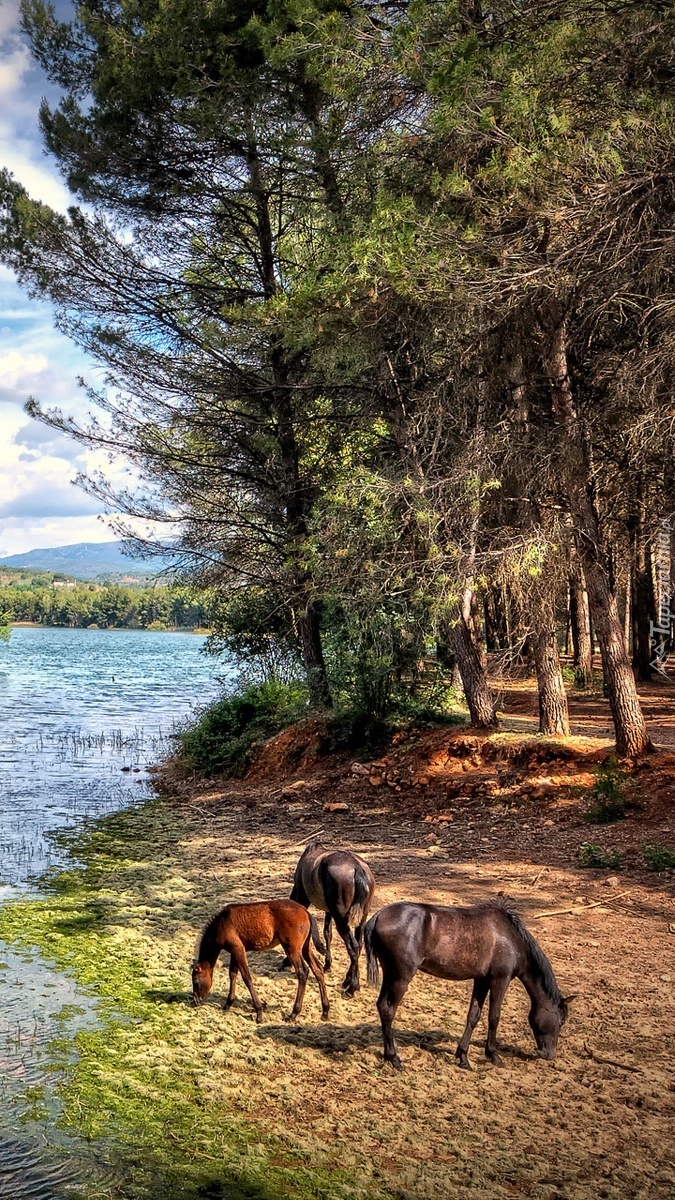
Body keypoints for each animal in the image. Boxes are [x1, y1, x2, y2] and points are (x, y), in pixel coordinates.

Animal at [189, 902, 329, 1022]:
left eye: (196, 982)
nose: (195, 1001)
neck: (220, 924)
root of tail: (306, 912)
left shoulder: (238, 948)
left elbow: (246, 977)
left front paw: (259, 1012)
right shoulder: (235, 950)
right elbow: (232, 974)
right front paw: (228, 1004)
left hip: (292, 948)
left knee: (303, 972)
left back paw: (293, 1013)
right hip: (305, 947)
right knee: (318, 969)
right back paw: (325, 1011)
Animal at [288, 835, 374, 993]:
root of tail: (357, 868)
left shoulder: (303, 898)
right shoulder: (329, 911)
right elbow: (327, 933)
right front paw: (328, 964)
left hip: (342, 919)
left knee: (353, 947)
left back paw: (352, 986)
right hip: (360, 918)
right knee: (358, 945)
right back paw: (350, 981)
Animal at [362, 902, 571, 1070]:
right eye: (561, 1021)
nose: (549, 1054)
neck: (510, 937)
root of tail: (377, 916)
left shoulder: (481, 980)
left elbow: (473, 1016)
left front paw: (463, 1056)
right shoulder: (499, 980)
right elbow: (494, 1017)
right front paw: (493, 1055)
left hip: (390, 975)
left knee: (381, 1006)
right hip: (400, 977)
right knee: (388, 1010)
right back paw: (394, 1058)